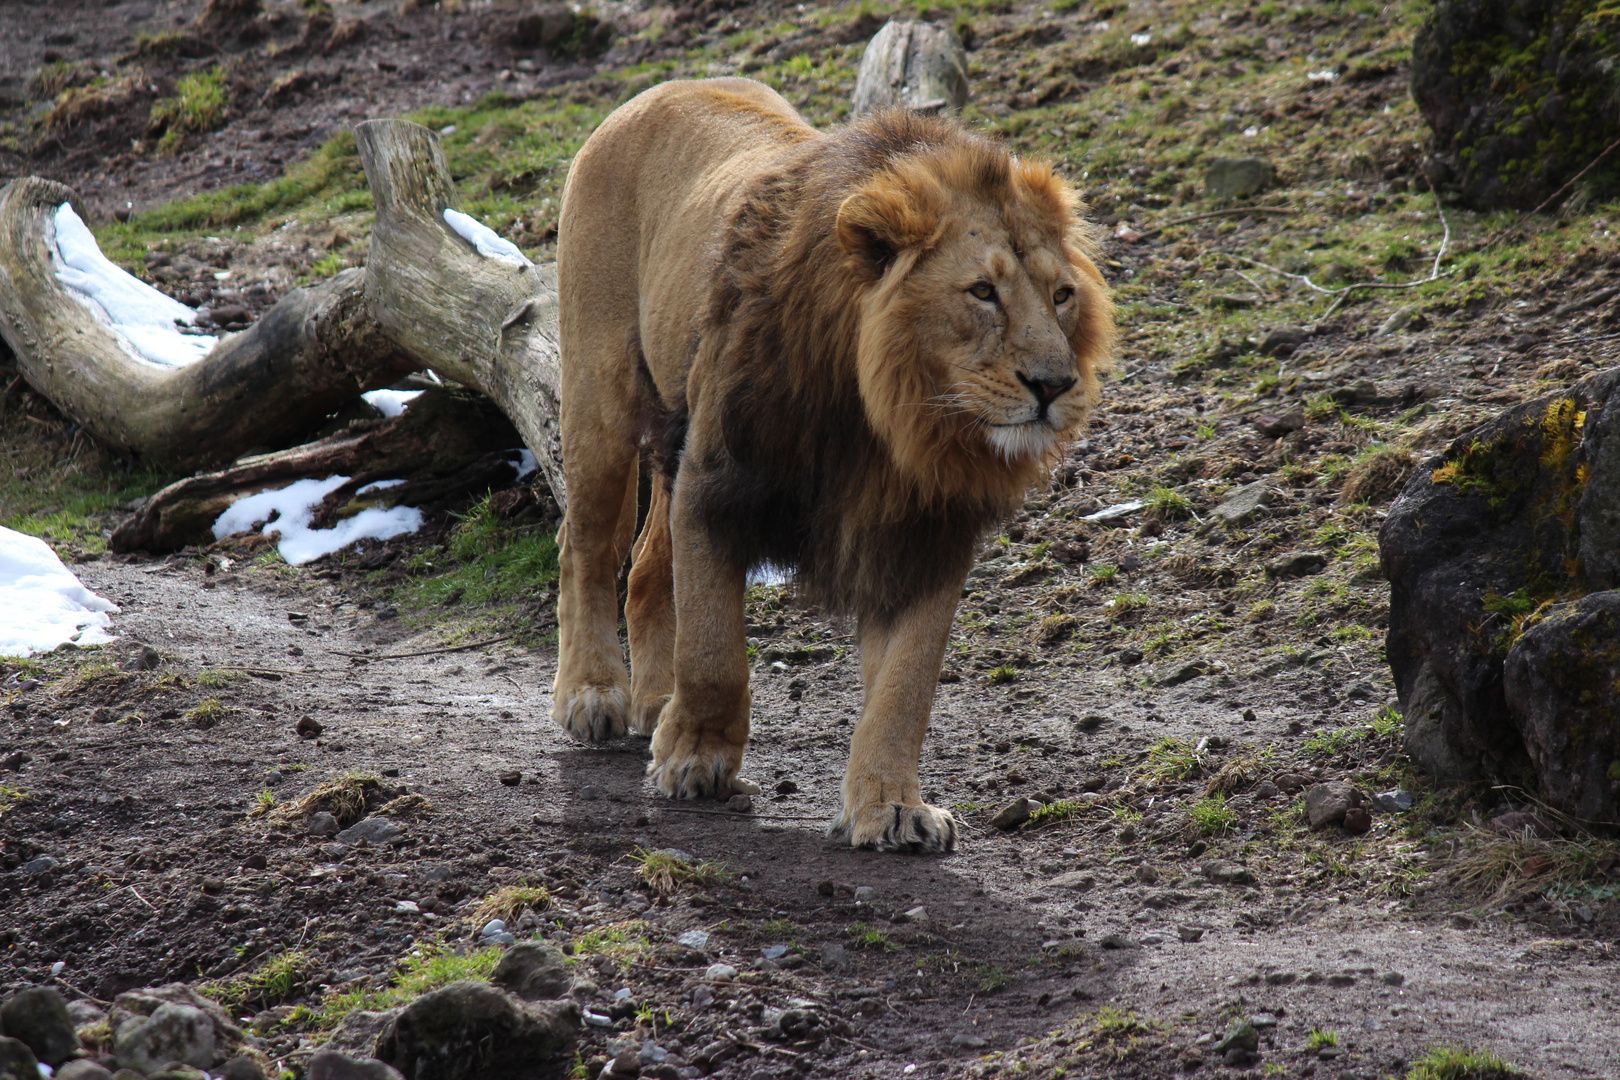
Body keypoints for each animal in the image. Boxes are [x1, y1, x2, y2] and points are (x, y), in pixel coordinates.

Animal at [550, 78, 1108, 854]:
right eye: (982, 292)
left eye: (1062, 296)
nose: (1054, 386)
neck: (888, 424)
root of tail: (662, 87)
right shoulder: (718, 484)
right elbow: (715, 653)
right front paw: (695, 758)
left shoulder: (928, 535)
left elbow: (905, 689)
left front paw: (892, 807)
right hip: (600, 395)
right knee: (587, 545)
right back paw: (594, 693)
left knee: (649, 566)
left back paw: (655, 701)